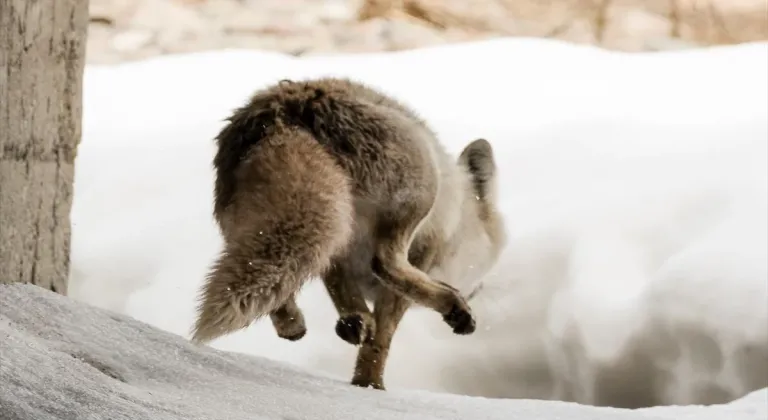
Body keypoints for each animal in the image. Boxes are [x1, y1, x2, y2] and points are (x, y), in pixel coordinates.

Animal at [189, 77, 508, 388]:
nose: (479, 289)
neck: (458, 222)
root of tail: (284, 110)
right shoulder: (421, 256)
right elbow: (382, 337)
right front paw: (370, 384)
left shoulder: (342, 258)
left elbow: (345, 295)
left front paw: (356, 329)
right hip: (420, 187)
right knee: (385, 263)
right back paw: (453, 305)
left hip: (269, 224)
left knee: (274, 284)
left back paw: (297, 323)